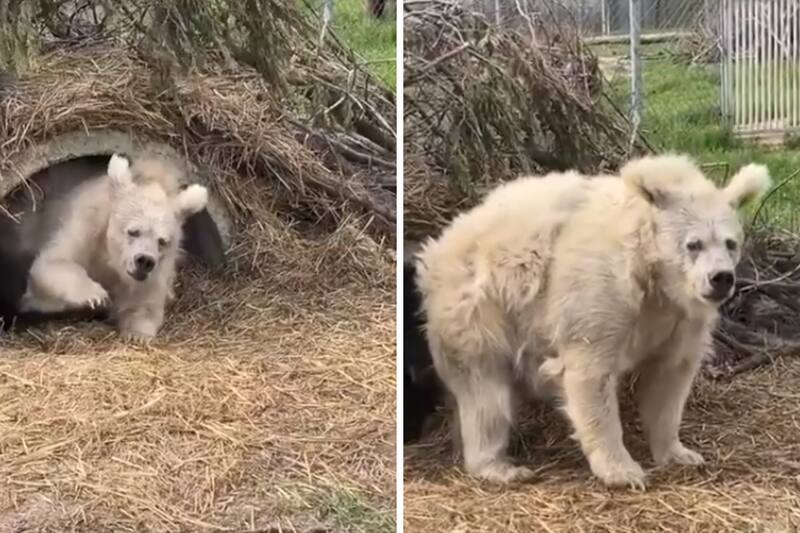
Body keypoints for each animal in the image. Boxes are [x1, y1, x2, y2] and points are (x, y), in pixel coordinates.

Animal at [19, 153, 208, 342]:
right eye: (133, 231)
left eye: (162, 241)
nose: (144, 261)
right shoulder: (86, 226)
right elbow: (52, 262)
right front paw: (96, 296)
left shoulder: (157, 271)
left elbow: (144, 304)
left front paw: (136, 334)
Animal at [414, 154, 771, 489]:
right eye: (693, 244)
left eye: (730, 242)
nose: (721, 278)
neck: (651, 275)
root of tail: (439, 246)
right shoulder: (599, 293)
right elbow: (591, 373)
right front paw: (623, 471)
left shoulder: (677, 319)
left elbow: (669, 379)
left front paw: (680, 453)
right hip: (480, 308)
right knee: (485, 392)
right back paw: (500, 466)